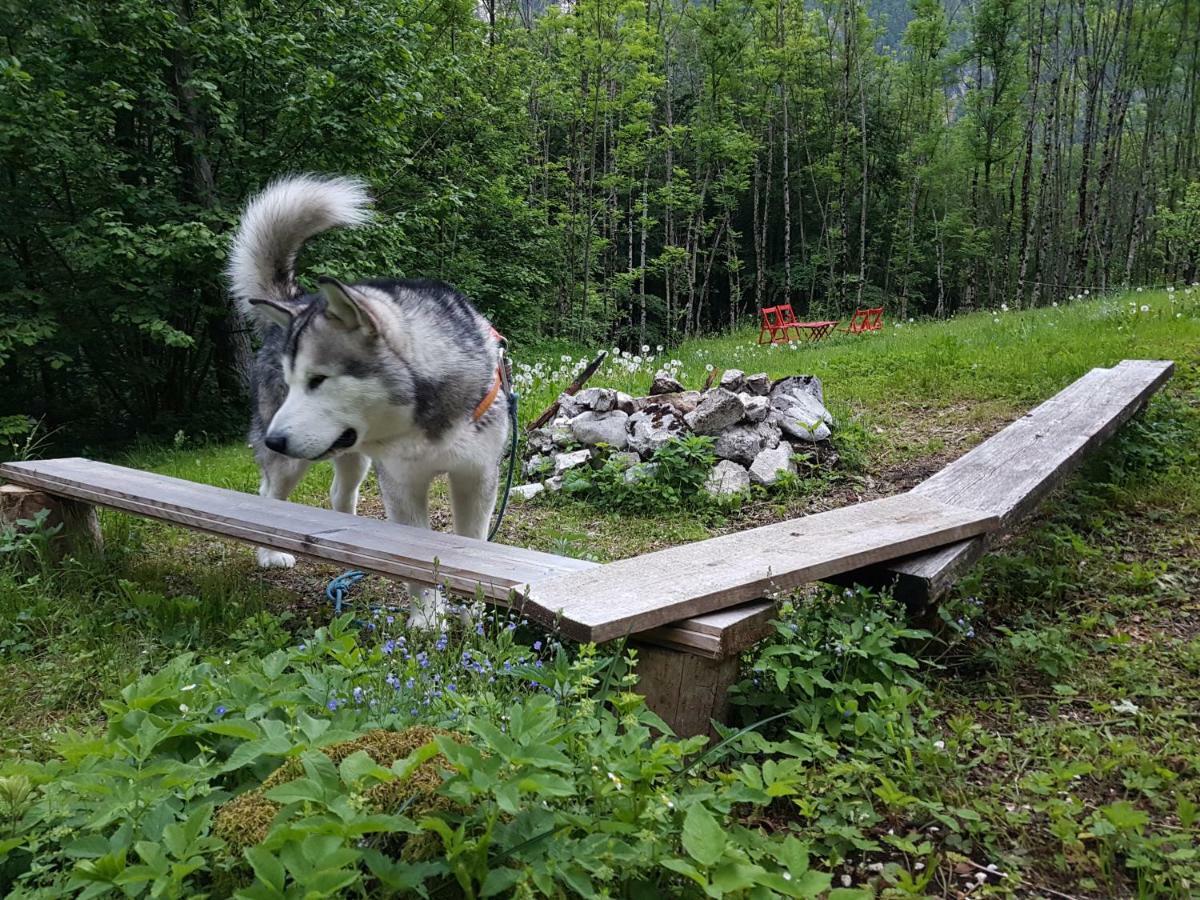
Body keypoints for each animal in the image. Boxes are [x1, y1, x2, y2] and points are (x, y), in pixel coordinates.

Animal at [225, 174, 511, 628]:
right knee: (269, 493)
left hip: (349, 456)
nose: (273, 439)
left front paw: (475, 608)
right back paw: (270, 551)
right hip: (294, 461)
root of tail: (298, 299)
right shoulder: (401, 481)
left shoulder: (476, 476)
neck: (426, 419)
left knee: (340, 495)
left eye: (318, 380)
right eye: (293, 383)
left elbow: (475, 543)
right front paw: (427, 620)